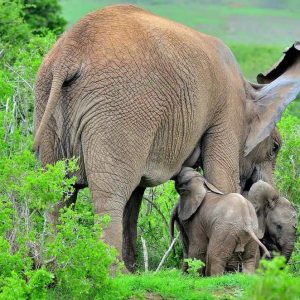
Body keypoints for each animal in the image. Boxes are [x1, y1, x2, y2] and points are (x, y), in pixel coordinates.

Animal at [32, 4, 300, 272]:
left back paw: (54, 268)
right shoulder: (226, 115)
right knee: (109, 197)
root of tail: (69, 53)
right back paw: (115, 274)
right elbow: (221, 178)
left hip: (50, 102)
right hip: (118, 110)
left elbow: (135, 197)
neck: (248, 90)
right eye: (275, 148)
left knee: (58, 194)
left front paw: (135, 268)